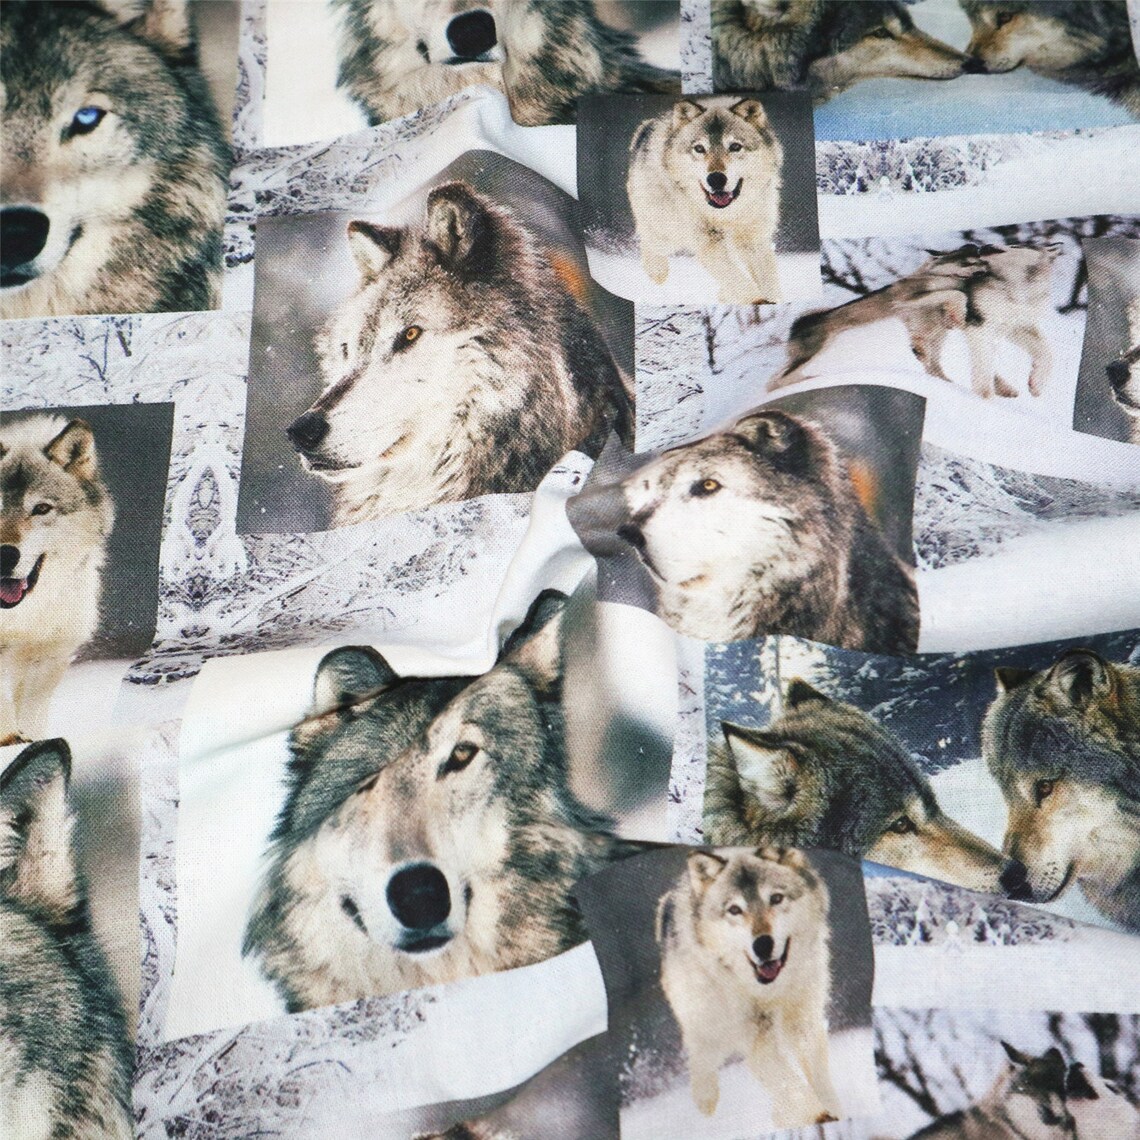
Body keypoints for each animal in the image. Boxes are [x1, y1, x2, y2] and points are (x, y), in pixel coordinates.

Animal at [626, 97, 785, 304]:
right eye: (699, 149)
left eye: (735, 147)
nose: (716, 179)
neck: (725, 215)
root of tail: (646, 127)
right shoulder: (708, 242)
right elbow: (737, 279)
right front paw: (758, 301)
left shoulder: (753, 239)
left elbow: (768, 281)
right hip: (666, 232)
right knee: (649, 240)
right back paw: (657, 271)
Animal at [655, 846, 841, 1125]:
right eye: (734, 910)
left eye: (776, 898)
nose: (762, 945)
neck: (767, 991)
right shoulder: (754, 1034)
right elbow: (788, 1081)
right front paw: (816, 1116)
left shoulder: (802, 1019)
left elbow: (815, 1077)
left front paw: (832, 1111)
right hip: (709, 1024)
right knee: (700, 1055)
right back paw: (705, 1100)